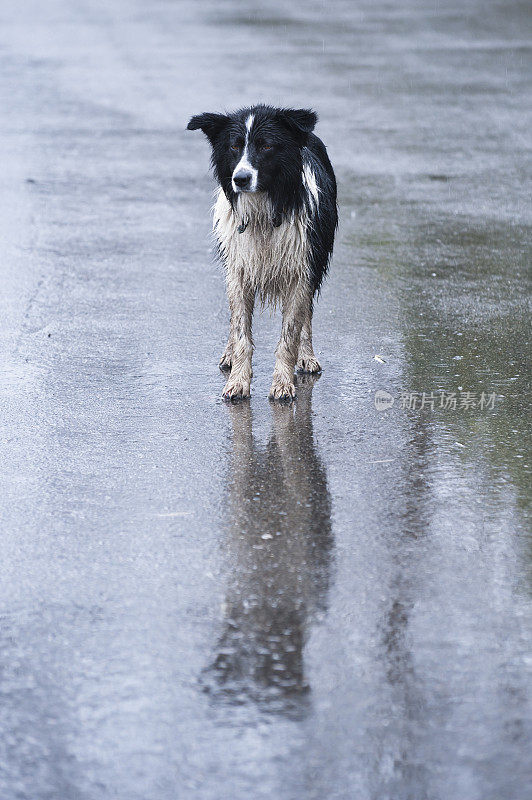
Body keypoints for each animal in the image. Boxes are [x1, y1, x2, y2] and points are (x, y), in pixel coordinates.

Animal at [187, 106, 336, 404]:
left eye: (266, 146)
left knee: (307, 315)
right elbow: (240, 331)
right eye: (234, 146)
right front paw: (237, 381)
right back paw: (229, 357)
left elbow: (290, 334)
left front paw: (283, 384)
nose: (240, 179)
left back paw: (307, 357)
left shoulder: (302, 270)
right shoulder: (238, 270)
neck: (263, 213)